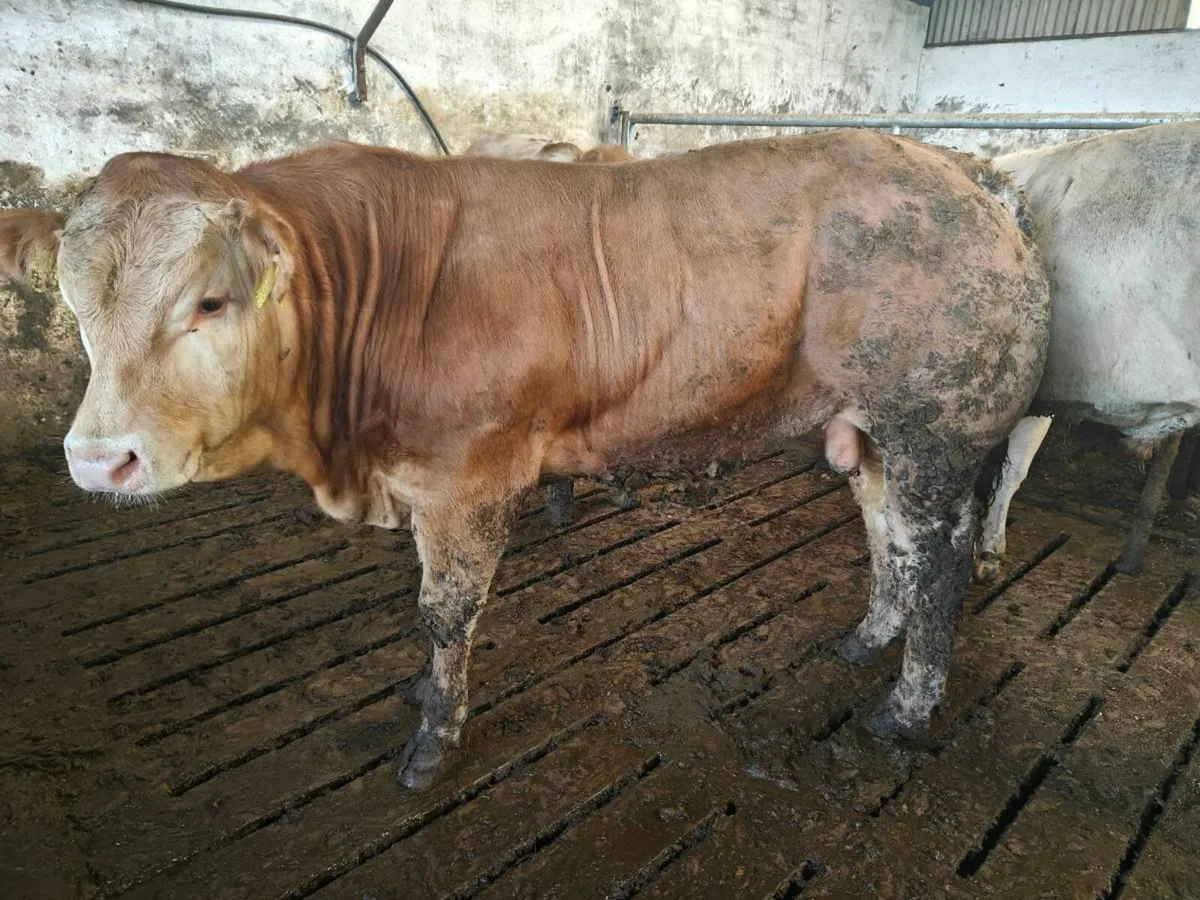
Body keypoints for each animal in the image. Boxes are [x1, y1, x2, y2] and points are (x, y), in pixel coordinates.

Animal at [0, 131, 1050, 790]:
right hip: (869, 430)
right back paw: (870, 639)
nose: (100, 461)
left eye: (211, 302)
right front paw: (427, 693)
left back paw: (906, 708)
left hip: (936, 427)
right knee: (890, 539)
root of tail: (971, 181)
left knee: (942, 566)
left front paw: (435, 735)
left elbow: (444, 611)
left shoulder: (466, 477)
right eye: (73, 303)